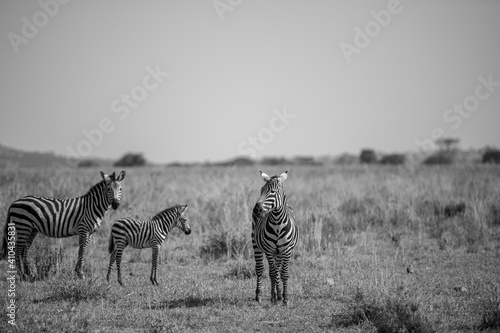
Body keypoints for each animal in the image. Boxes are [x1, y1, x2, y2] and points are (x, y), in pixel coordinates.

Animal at [252, 170, 298, 304]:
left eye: (272, 191)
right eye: (261, 190)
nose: (256, 209)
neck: (277, 224)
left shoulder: (287, 251)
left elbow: (284, 274)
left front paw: (285, 298)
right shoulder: (268, 250)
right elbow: (272, 273)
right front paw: (273, 298)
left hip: (279, 252)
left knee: (278, 270)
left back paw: (279, 294)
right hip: (255, 244)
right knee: (260, 269)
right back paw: (259, 295)